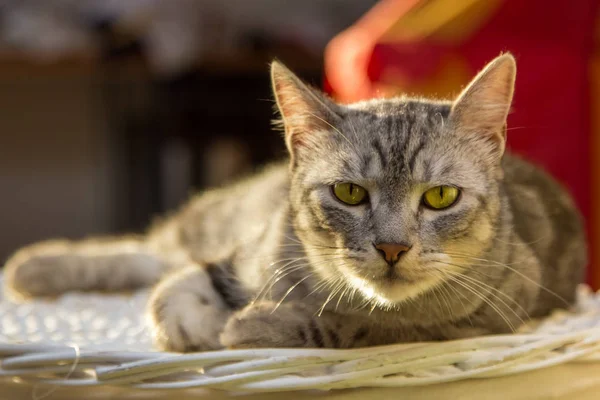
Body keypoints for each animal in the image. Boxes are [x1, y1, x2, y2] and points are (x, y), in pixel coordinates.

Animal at [3, 53, 584, 350]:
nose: (393, 248)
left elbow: (369, 326)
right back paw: (33, 266)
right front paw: (201, 324)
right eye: (349, 192)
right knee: (151, 251)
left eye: (440, 197)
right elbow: (179, 286)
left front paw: (249, 325)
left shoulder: (489, 315)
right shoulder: (247, 251)